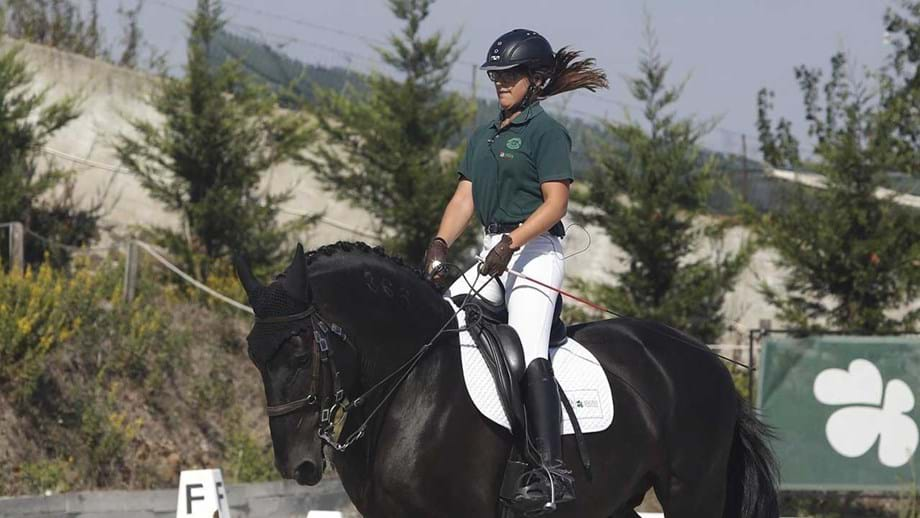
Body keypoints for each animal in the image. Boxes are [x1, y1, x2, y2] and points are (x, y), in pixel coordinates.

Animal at [235, 244, 776, 518]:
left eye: (301, 353)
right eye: (254, 356)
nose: (298, 466)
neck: (413, 384)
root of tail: (710, 363)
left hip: (691, 492)